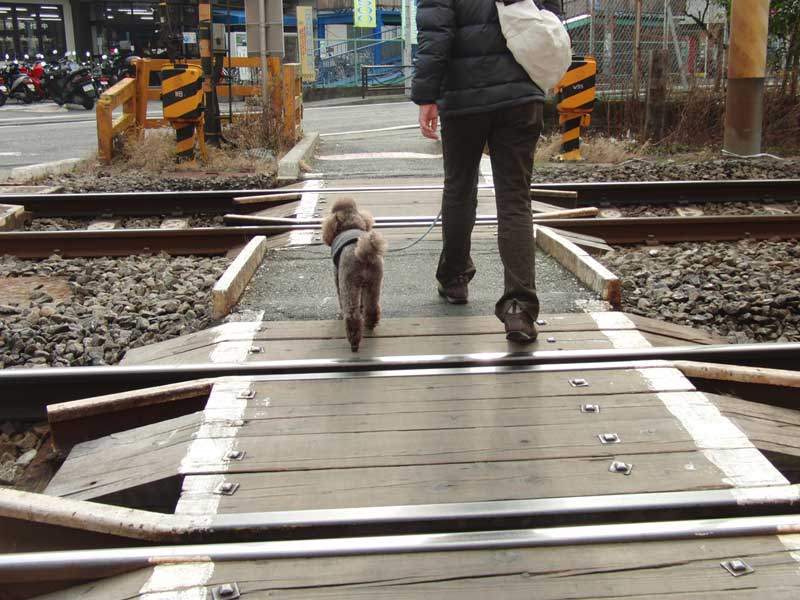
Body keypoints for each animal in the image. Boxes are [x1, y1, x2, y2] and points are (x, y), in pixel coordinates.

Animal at [321, 197, 387, 352]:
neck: (350, 224)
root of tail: (364, 254)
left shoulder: (337, 276)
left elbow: (339, 296)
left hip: (348, 283)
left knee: (352, 315)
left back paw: (354, 342)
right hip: (374, 282)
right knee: (372, 308)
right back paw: (370, 324)